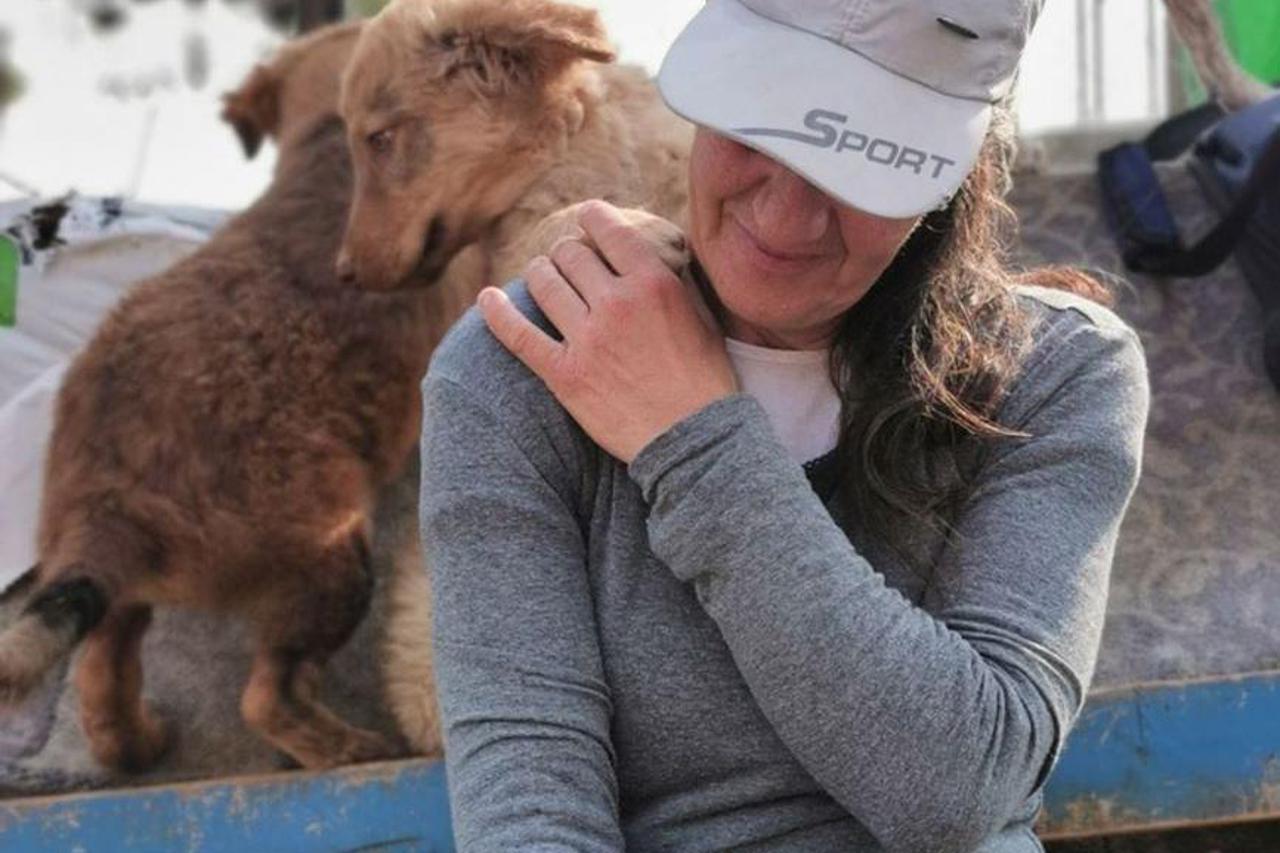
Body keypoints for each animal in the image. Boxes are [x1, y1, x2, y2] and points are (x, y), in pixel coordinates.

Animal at [0, 20, 434, 773]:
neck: (325, 134)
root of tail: (103, 507)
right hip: (332, 559)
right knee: (268, 697)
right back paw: (350, 748)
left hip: (124, 598)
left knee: (103, 679)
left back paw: (140, 743)